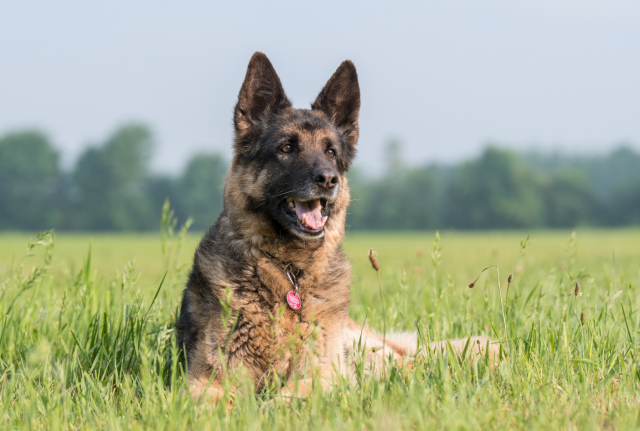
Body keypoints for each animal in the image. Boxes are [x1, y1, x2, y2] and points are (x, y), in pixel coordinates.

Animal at [175, 52, 496, 404]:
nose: (328, 179)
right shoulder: (207, 381)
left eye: (330, 152)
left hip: (370, 355)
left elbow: (284, 398)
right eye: (286, 148)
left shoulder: (324, 374)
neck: (290, 272)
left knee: (411, 362)